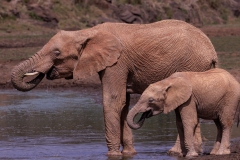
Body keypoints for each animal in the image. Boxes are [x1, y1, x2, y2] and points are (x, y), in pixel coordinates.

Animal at [11, 19, 218, 156]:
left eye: (56, 53)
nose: (43, 73)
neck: (87, 32)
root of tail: (211, 51)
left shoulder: (117, 63)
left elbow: (112, 101)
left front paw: (112, 155)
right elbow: (123, 103)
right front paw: (129, 153)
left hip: (192, 65)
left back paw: (175, 153)